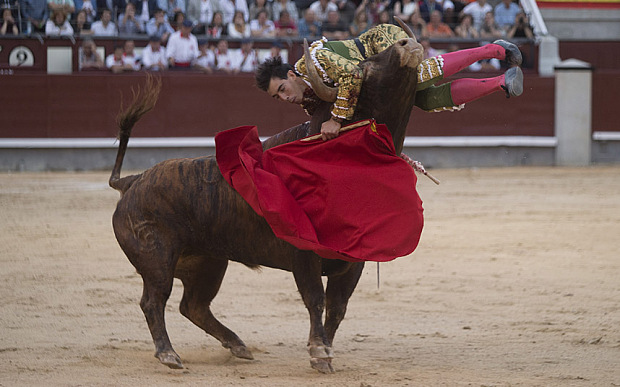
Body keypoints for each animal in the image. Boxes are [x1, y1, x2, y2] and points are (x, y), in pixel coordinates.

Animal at [109, 25, 424, 374]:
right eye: (366, 69)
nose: (407, 44)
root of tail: (133, 181)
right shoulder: (303, 254)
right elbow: (315, 298)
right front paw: (319, 351)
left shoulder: (354, 261)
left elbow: (337, 307)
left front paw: (324, 352)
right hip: (158, 258)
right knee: (154, 300)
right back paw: (169, 354)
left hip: (207, 261)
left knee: (193, 305)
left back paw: (238, 346)